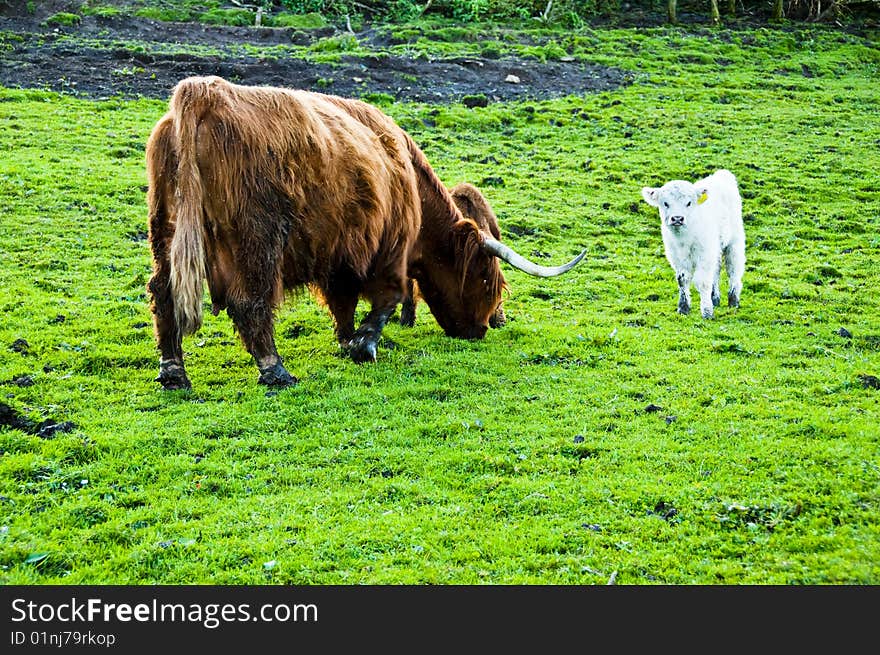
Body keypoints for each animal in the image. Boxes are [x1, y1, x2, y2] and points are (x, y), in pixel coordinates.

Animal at [644, 169, 744, 320]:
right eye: (665, 203)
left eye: (689, 203)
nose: (677, 218)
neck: (683, 239)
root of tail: (722, 174)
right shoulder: (676, 257)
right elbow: (682, 280)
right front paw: (683, 308)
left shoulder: (704, 253)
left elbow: (702, 281)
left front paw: (707, 312)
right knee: (716, 270)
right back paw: (715, 299)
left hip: (734, 241)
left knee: (733, 270)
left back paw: (733, 301)